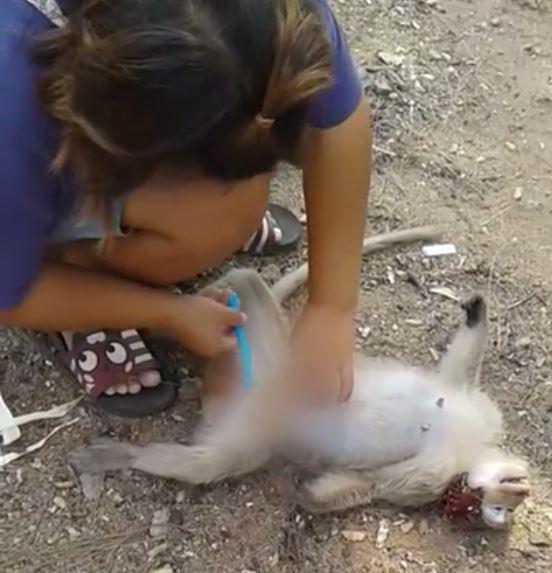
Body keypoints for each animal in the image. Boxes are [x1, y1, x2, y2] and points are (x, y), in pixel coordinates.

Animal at [69, 226, 532, 528]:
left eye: (498, 509)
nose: (516, 495)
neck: (473, 445)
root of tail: (227, 389)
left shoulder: (437, 476)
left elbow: (375, 485)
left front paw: (303, 492)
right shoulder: (477, 415)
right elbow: (456, 372)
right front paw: (476, 311)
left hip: (247, 421)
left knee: (213, 461)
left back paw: (126, 451)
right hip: (280, 352)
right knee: (243, 283)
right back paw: (181, 319)